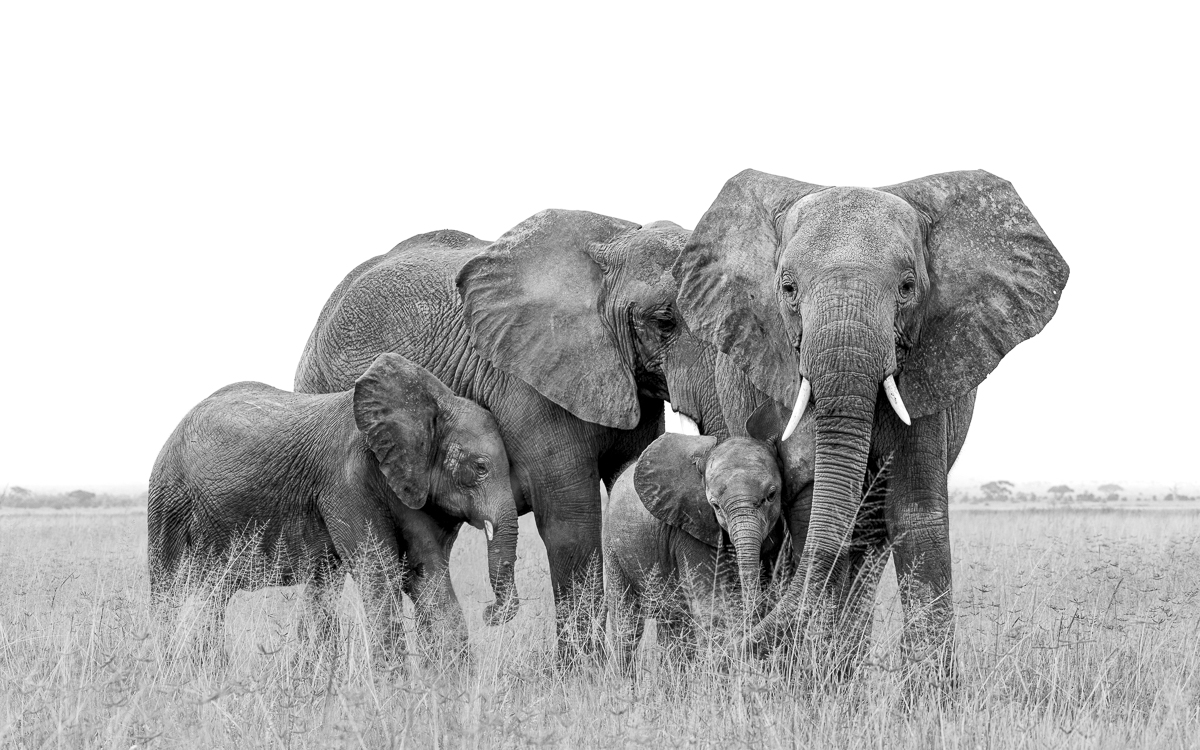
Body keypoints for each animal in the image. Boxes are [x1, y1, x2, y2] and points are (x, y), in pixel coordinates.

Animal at [148, 352, 520, 661]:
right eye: (481, 467)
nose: (489, 612)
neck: (433, 402)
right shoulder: (346, 481)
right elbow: (379, 574)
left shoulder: (412, 484)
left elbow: (426, 573)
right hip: (168, 496)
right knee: (167, 588)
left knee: (215, 594)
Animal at [294, 212, 731, 657]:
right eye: (664, 322)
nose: (490, 613)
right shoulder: (529, 383)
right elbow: (570, 524)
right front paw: (583, 671)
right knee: (326, 567)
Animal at [602, 431, 785, 674]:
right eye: (715, 506)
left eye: (771, 495)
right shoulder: (690, 529)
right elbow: (711, 606)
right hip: (612, 543)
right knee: (628, 623)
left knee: (674, 623)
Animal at [675, 169, 1069, 676]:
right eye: (787, 289)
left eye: (907, 287)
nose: (731, 654)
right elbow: (814, 512)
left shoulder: (929, 366)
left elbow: (914, 512)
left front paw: (929, 691)